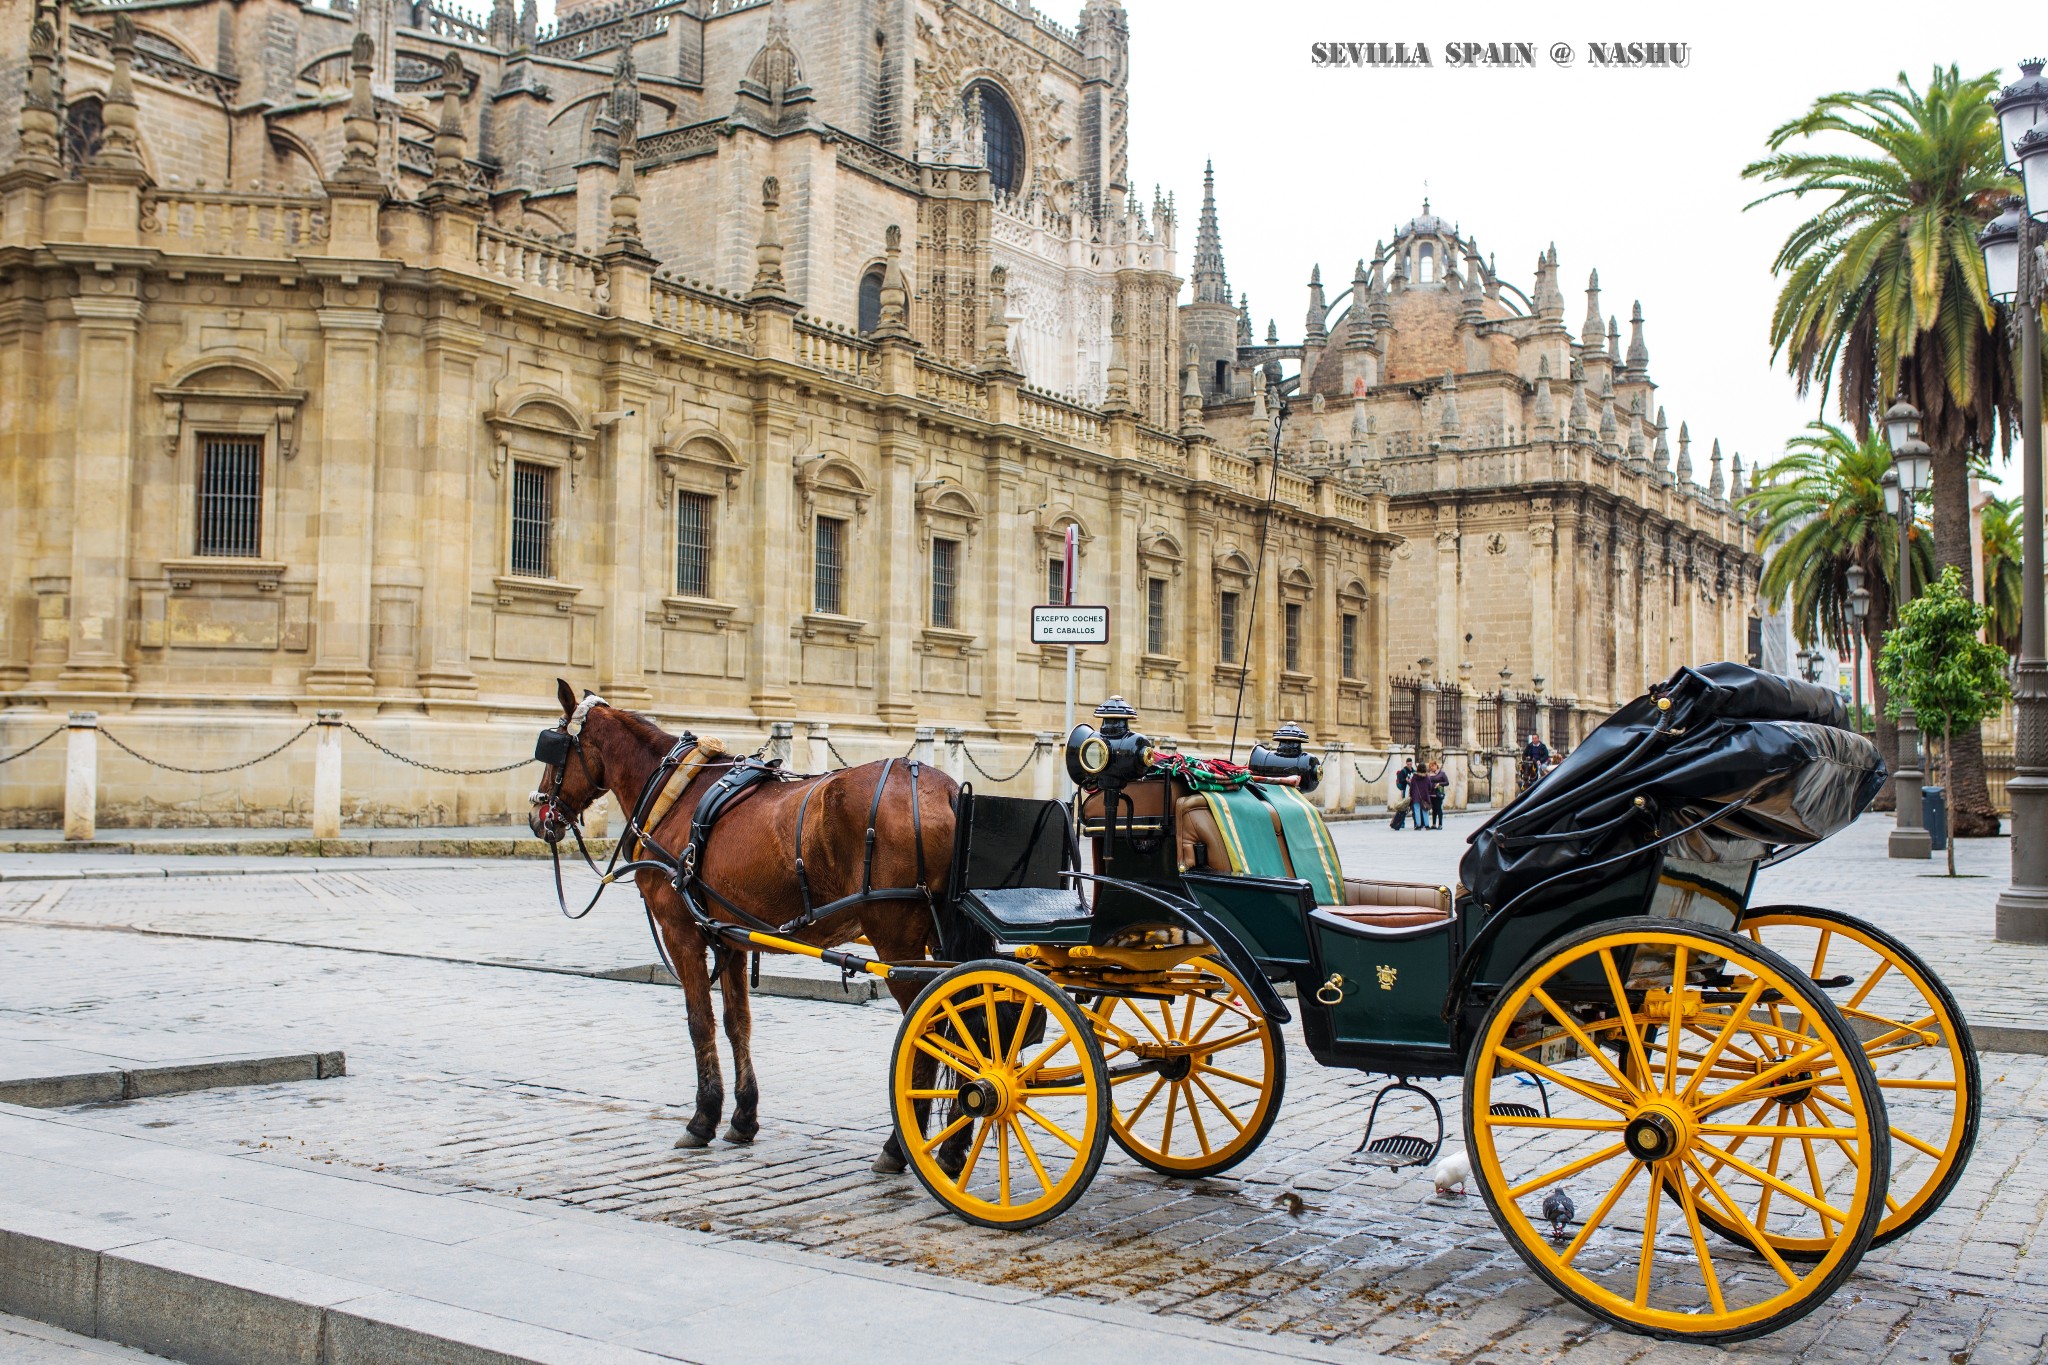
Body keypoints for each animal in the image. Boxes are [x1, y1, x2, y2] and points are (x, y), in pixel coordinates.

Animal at [528, 679, 958, 1170]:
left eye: (554, 748)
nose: (537, 817)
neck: (676, 796)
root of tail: (947, 789)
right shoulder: (727, 937)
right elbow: (738, 1023)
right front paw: (742, 1117)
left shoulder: (681, 934)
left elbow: (700, 1021)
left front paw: (702, 1119)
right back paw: (953, 1149)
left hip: (896, 940)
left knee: (932, 1031)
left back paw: (901, 1147)